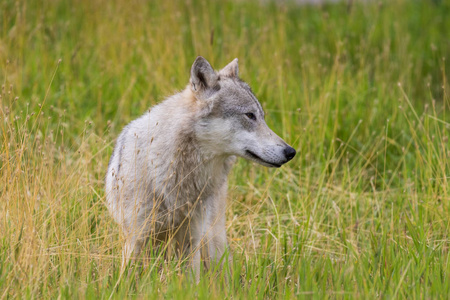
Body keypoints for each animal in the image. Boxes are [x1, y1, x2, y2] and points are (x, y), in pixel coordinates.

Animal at [104, 56, 298, 282]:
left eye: (262, 116)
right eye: (250, 115)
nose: (290, 151)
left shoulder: (192, 241)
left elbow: (191, 282)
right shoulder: (136, 237)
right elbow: (126, 279)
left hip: (213, 238)